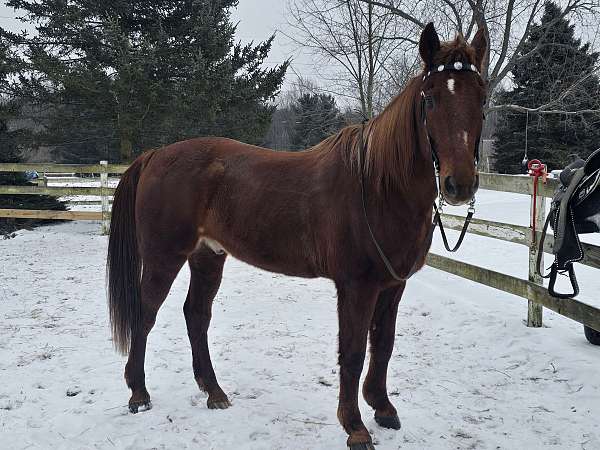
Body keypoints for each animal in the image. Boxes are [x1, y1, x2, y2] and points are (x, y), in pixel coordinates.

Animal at [108, 25, 488, 450]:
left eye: (482, 95)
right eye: (431, 97)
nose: (460, 184)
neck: (377, 185)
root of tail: (155, 155)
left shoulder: (393, 285)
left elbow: (383, 345)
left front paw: (383, 408)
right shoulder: (357, 286)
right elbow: (353, 352)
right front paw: (355, 426)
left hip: (207, 256)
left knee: (196, 315)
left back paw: (214, 392)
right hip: (164, 256)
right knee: (145, 314)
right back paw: (139, 393)